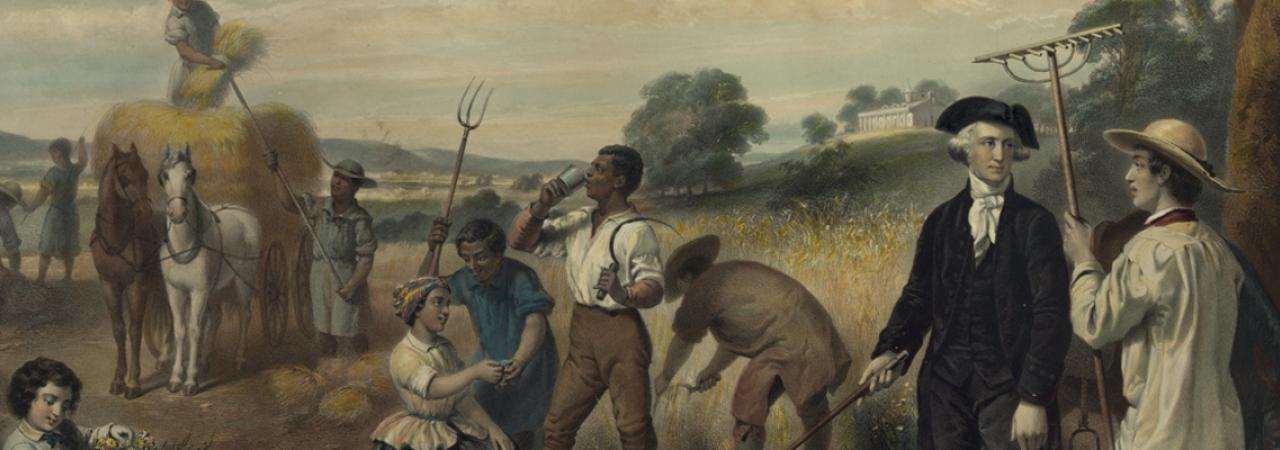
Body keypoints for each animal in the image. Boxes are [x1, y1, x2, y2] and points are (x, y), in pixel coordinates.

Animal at [91, 142, 174, 398]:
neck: (116, 237)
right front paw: (118, 379)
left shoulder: (136, 287)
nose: (145, 211)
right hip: (158, 285)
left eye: (146, 175)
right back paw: (164, 357)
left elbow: (135, 330)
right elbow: (119, 330)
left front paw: (133, 382)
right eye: (125, 177)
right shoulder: (108, 285)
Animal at [158, 145, 259, 396]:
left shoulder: (199, 291)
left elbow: (194, 329)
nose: (177, 212)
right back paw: (206, 359)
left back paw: (239, 359)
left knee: (245, 314)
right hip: (216, 288)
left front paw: (191, 380)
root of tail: (244, 213)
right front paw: (175, 377)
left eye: (190, 174)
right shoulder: (175, 291)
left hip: (243, 281)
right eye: (164, 176)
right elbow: (180, 330)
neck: (185, 244)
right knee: (216, 316)